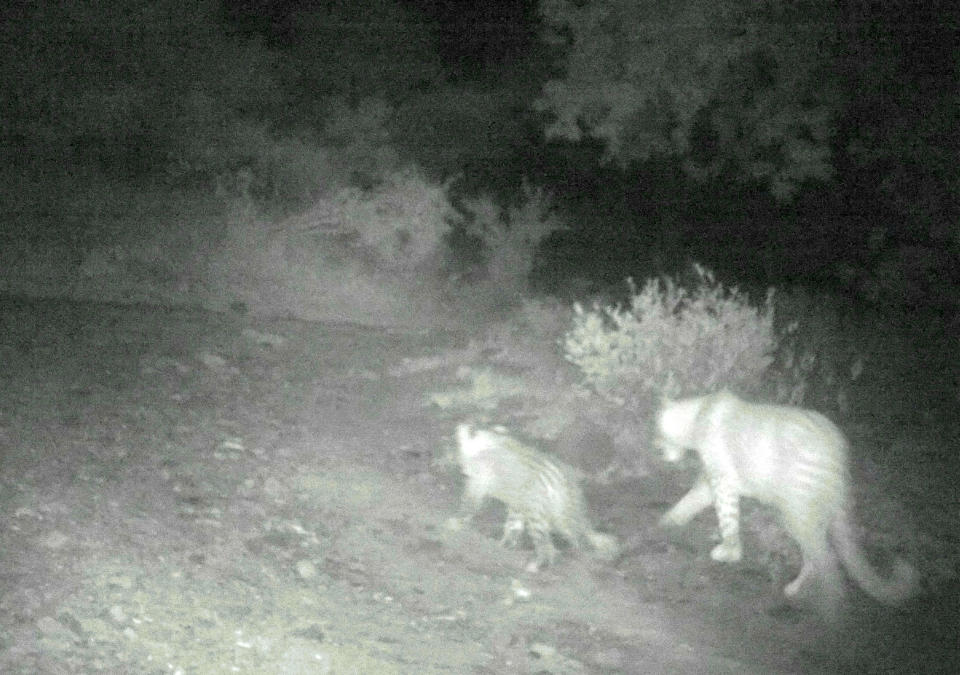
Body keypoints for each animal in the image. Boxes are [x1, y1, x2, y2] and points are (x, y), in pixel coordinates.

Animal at [446, 422, 620, 572]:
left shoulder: (482, 475)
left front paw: (458, 520)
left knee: (547, 541)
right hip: (551, 507)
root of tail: (566, 482)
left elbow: (471, 502)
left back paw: (541, 562)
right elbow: (513, 522)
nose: (460, 426)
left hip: (538, 507)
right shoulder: (516, 498)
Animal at [656, 390, 920, 616]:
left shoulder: (724, 483)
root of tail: (839, 450)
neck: (699, 414)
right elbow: (691, 499)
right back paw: (796, 589)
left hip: (797, 511)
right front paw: (670, 520)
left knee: (827, 559)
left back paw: (829, 606)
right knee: (817, 556)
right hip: (807, 514)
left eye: (657, 431)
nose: (657, 449)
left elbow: (727, 519)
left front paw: (730, 552)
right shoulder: (713, 481)